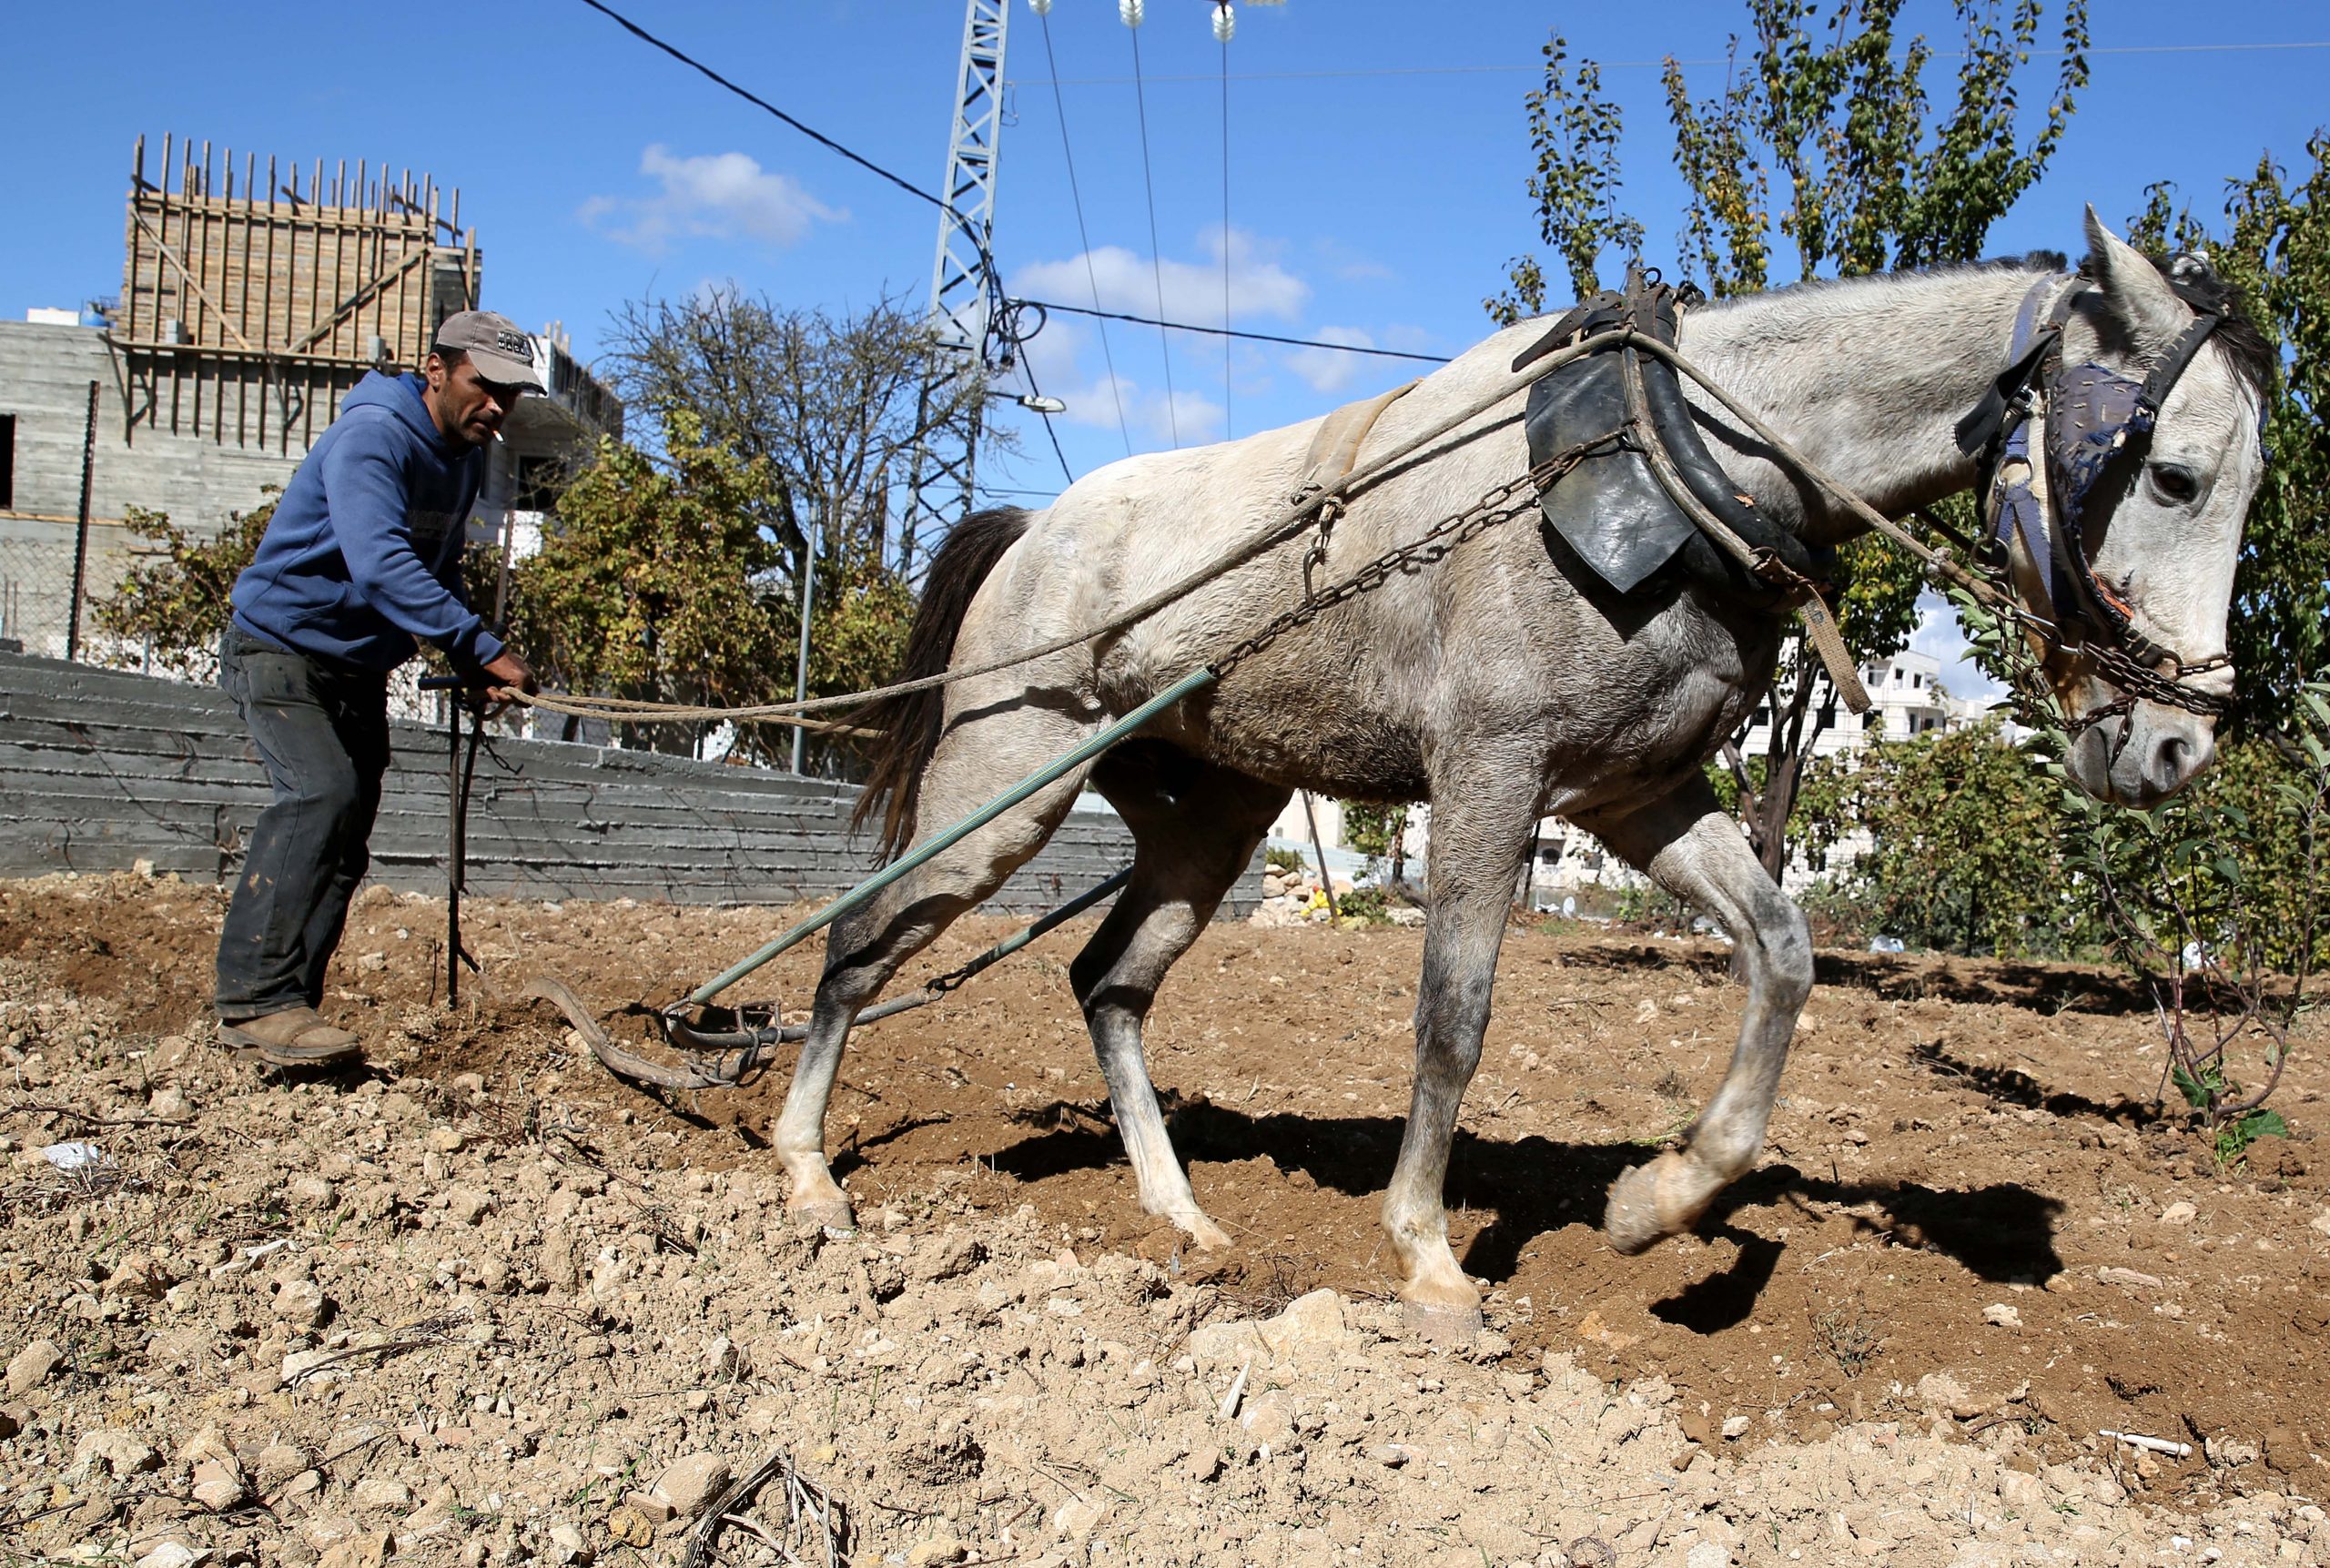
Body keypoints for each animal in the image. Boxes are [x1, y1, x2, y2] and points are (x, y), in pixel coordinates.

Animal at [771, 210, 2269, 1334]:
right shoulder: (1491, 772)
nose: (2180, 742)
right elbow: (1457, 1014)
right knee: (857, 938)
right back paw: (802, 1170)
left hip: (1212, 820)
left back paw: (1181, 1212)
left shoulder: (1636, 794)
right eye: (2177, 476)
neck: (1668, 454)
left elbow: (1784, 951)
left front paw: (1660, 1202)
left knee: (1108, 982)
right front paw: (1428, 1252)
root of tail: (1035, 526)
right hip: (1005, 783)